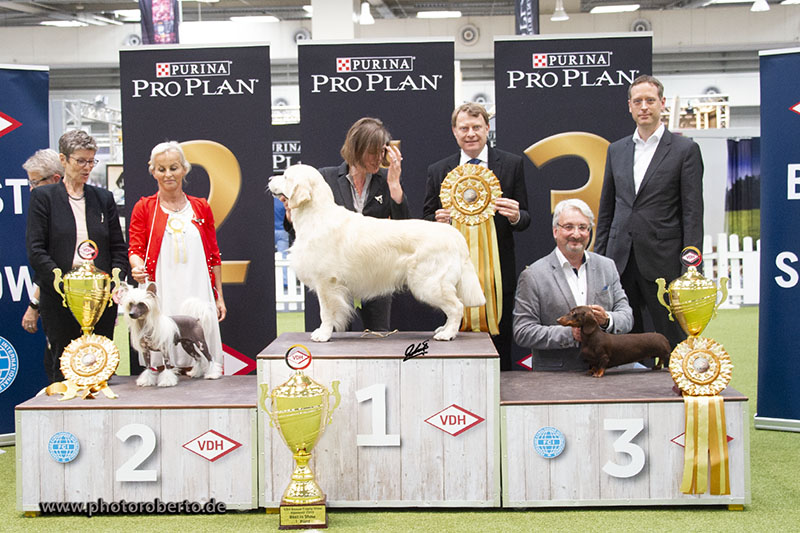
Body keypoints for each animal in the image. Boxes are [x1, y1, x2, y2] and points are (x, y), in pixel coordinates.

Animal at [268, 164, 486, 342]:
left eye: (285, 176)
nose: (270, 179)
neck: (315, 215)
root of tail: (454, 235)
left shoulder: (326, 282)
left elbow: (327, 312)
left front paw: (323, 334)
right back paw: (444, 329)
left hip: (429, 283)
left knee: (457, 307)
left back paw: (447, 334)